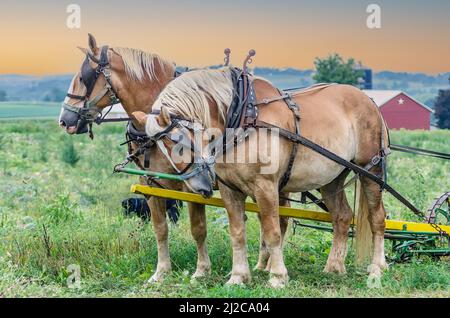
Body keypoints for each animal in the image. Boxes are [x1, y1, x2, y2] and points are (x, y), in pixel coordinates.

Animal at [132, 67, 388, 288]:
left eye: (176, 141)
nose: (198, 186)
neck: (240, 120)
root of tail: (368, 100)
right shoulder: (230, 189)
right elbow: (237, 232)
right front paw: (238, 277)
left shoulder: (265, 187)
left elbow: (272, 232)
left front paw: (277, 277)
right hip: (331, 178)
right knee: (342, 217)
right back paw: (334, 267)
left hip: (371, 170)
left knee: (377, 218)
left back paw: (377, 268)